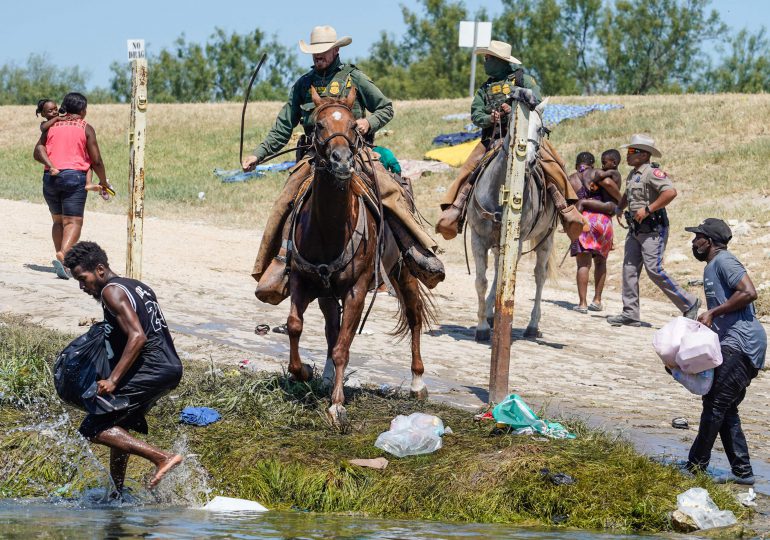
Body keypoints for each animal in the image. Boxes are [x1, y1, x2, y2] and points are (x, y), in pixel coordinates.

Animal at [286, 86, 432, 424]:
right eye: (319, 125)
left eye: (354, 125)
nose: (341, 161)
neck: (328, 229)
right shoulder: (302, 280)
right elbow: (296, 326)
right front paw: (304, 371)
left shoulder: (357, 290)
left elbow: (344, 347)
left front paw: (337, 405)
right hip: (328, 293)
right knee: (331, 328)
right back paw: (327, 375)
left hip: (404, 272)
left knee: (414, 316)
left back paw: (417, 382)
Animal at [464, 101, 556, 342]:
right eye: (516, 126)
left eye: (540, 129)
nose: (529, 161)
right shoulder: (478, 238)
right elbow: (482, 281)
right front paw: (482, 327)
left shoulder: (519, 240)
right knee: (498, 270)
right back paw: (490, 313)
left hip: (545, 238)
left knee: (540, 276)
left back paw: (532, 325)